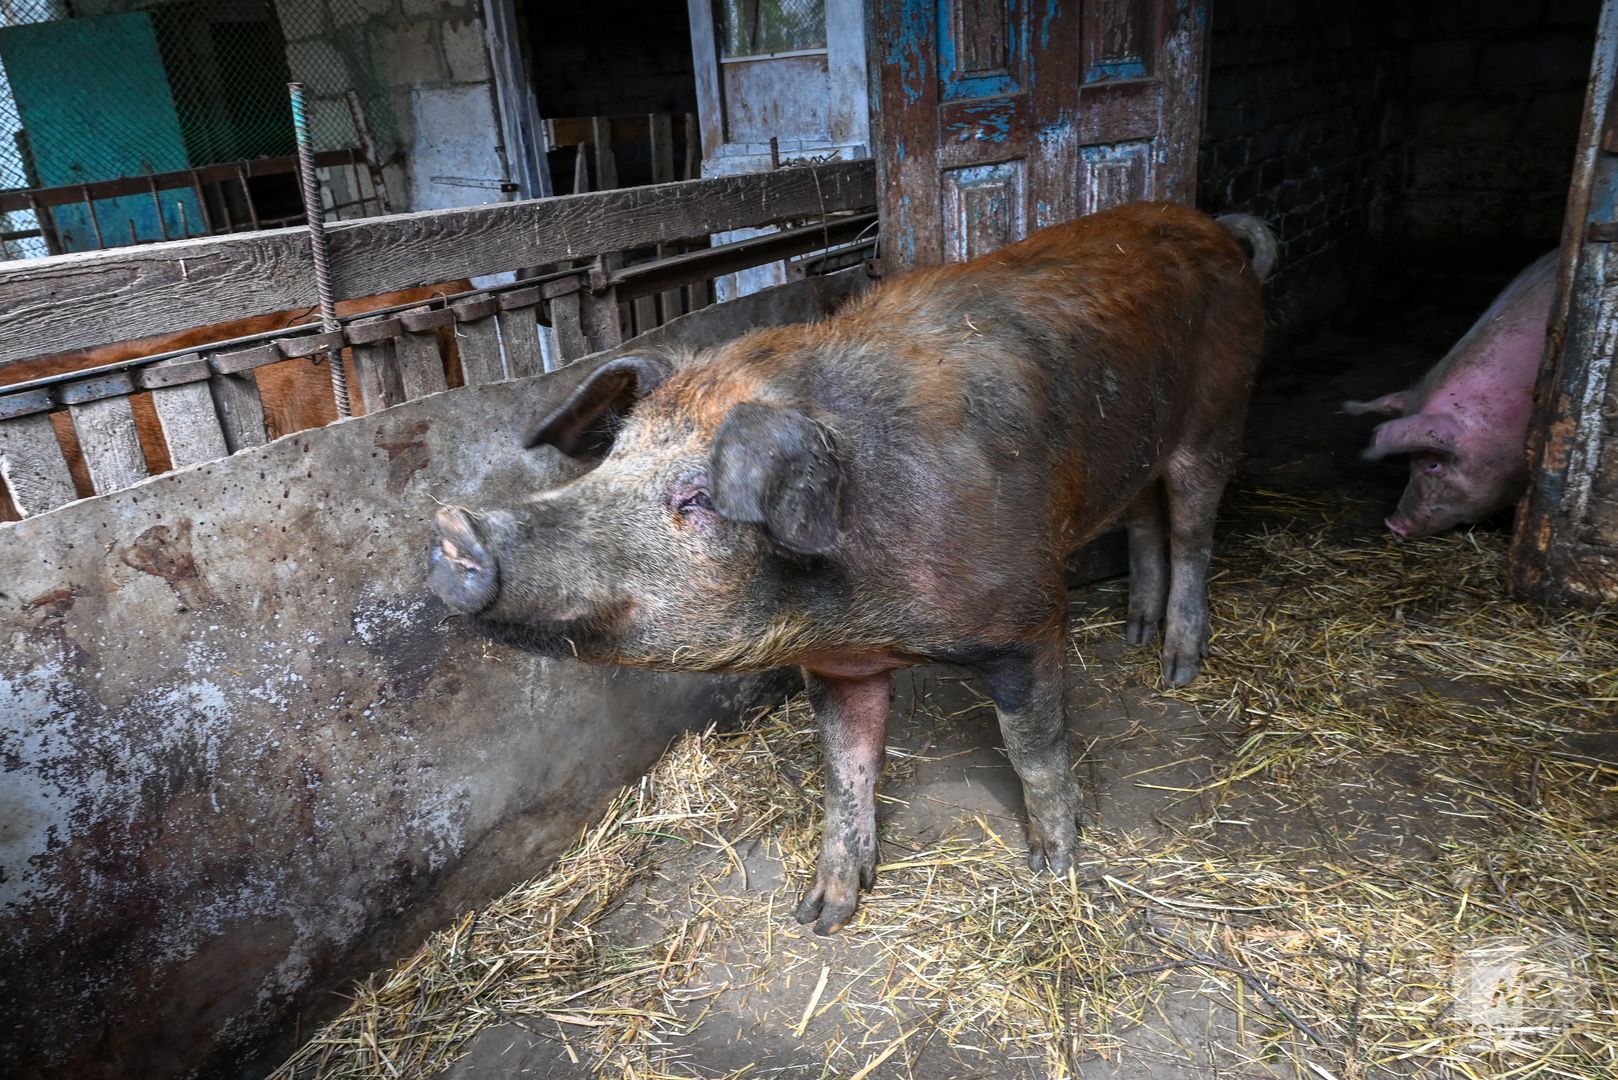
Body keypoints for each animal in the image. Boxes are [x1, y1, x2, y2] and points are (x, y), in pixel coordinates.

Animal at [427, 207, 1274, 932]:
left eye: (698, 497)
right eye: (611, 458)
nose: (454, 528)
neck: (863, 608)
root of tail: (1216, 229)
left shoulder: (1030, 617)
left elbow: (1035, 751)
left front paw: (1055, 867)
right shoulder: (840, 663)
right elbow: (847, 771)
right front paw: (823, 914)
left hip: (1221, 411)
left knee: (1192, 527)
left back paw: (1176, 668)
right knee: (1144, 517)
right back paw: (1135, 635)